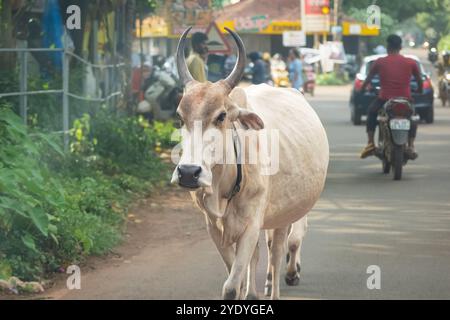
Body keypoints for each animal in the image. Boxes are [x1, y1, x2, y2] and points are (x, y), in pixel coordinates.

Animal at [171, 27, 328, 300]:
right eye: (180, 117)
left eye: (222, 116)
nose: (188, 173)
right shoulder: (213, 226)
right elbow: (238, 269)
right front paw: (249, 292)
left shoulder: (252, 223)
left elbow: (231, 286)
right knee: (262, 253)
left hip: (286, 211)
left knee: (278, 251)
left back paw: (279, 283)